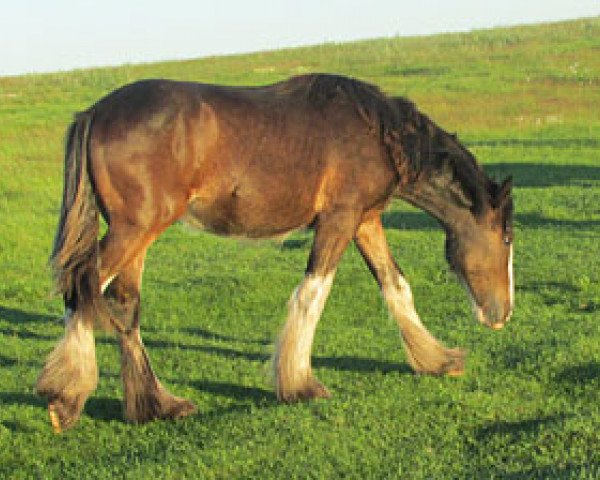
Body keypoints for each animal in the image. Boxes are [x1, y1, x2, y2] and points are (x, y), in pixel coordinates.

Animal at [35, 73, 512, 434]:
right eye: (507, 239)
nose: (502, 314)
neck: (377, 132)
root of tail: (94, 113)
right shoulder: (338, 220)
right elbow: (313, 294)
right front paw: (299, 384)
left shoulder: (366, 221)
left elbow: (395, 286)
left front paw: (437, 360)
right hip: (134, 229)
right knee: (81, 287)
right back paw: (65, 398)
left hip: (139, 235)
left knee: (121, 305)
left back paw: (156, 406)